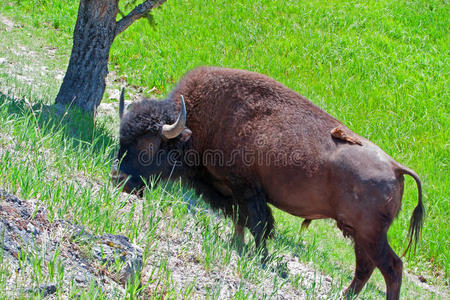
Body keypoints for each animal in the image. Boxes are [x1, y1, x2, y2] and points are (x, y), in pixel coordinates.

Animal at [111, 67, 422, 298]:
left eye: (149, 146)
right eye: (121, 137)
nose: (119, 179)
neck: (199, 123)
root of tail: (395, 168)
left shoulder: (248, 189)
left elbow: (260, 224)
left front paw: (260, 257)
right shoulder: (232, 189)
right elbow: (241, 218)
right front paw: (237, 244)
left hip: (370, 234)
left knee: (391, 267)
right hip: (359, 233)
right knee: (366, 268)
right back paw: (343, 295)